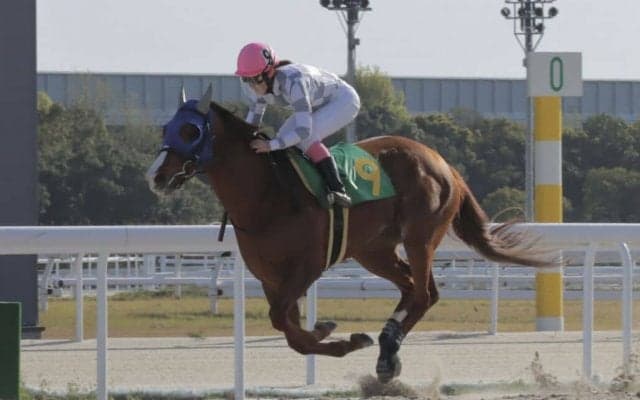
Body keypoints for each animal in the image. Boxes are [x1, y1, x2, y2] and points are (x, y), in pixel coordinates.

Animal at [145, 86, 556, 383]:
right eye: (165, 128)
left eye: (190, 130)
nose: (156, 176)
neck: (268, 195)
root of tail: (444, 163)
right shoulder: (270, 277)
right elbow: (290, 331)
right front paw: (332, 333)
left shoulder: (307, 266)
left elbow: (283, 321)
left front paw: (336, 334)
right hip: (373, 250)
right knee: (412, 289)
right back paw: (388, 349)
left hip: (420, 236)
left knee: (424, 293)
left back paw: (388, 348)